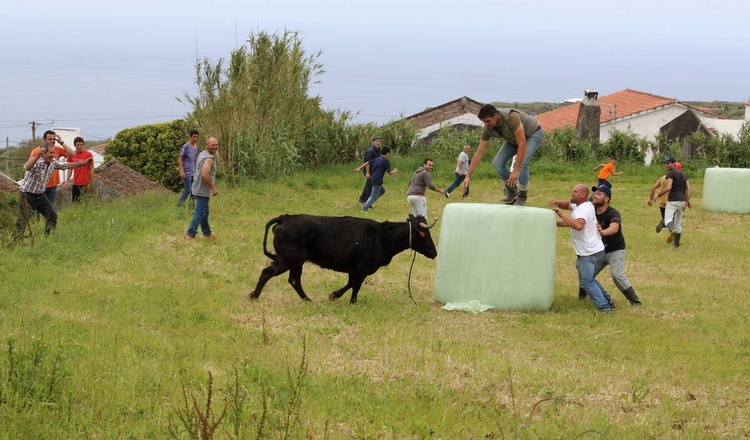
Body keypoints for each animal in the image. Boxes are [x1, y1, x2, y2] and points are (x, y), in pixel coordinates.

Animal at [250, 213, 438, 302]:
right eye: (425, 234)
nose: (434, 253)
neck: (381, 236)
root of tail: (285, 218)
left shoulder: (355, 269)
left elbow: (350, 284)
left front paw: (334, 295)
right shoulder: (362, 268)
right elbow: (355, 286)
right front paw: (351, 301)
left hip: (295, 262)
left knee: (294, 280)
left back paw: (308, 300)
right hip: (289, 260)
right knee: (268, 272)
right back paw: (254, 295)